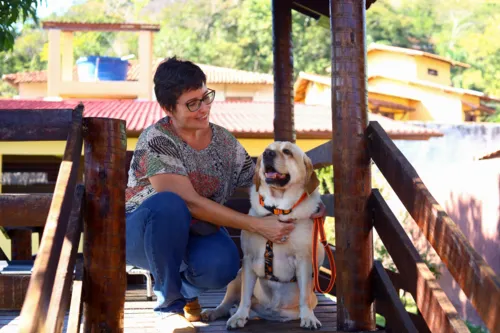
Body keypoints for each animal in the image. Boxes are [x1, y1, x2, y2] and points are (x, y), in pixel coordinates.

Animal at [201, 141, 326, 330]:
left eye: (287, 151)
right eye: (267, 150)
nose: (267, 154)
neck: (278, 209)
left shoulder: (304, 261)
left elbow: (304, 295)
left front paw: (308, 318)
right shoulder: (248, 260)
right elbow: (245, 296)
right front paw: (239, 316)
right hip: (236, 277)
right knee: (227, 303)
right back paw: (214, 312)